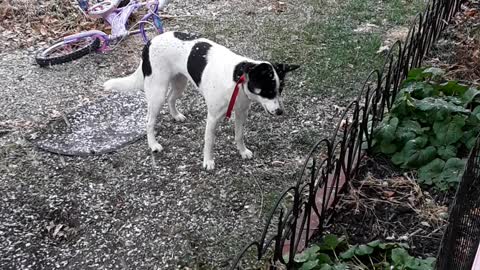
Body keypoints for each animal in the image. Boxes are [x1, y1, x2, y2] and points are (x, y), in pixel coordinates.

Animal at [104, 31, 300, 170]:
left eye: (280, 90)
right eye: (267, 91)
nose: (280, 112)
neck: (237, 78)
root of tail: (149, 42)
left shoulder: (241, 113)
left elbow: (239, 135)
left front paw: (243, 152)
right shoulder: (212, 118)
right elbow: (209, 141)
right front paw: (208, 161)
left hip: (179, 83)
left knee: (171, 99)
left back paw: (176, 116)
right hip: (157, 92)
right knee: (149, 121)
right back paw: (153, 144)